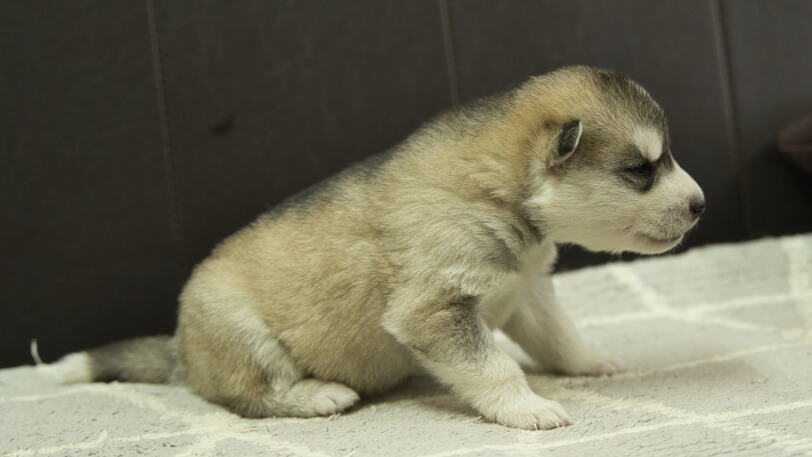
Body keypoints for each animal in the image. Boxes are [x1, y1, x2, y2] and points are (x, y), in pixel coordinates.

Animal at [44, 66, 704, 430]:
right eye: (640, 171)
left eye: (662, 160)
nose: (700, 205)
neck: (501, 194)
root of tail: (182, 351)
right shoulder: (434, 311)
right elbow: (493, 366)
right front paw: (527, 408)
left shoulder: (528, 291)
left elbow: (559, 337)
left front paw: (590, 361)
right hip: (241, 332)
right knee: (251, 397)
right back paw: (318, 395)